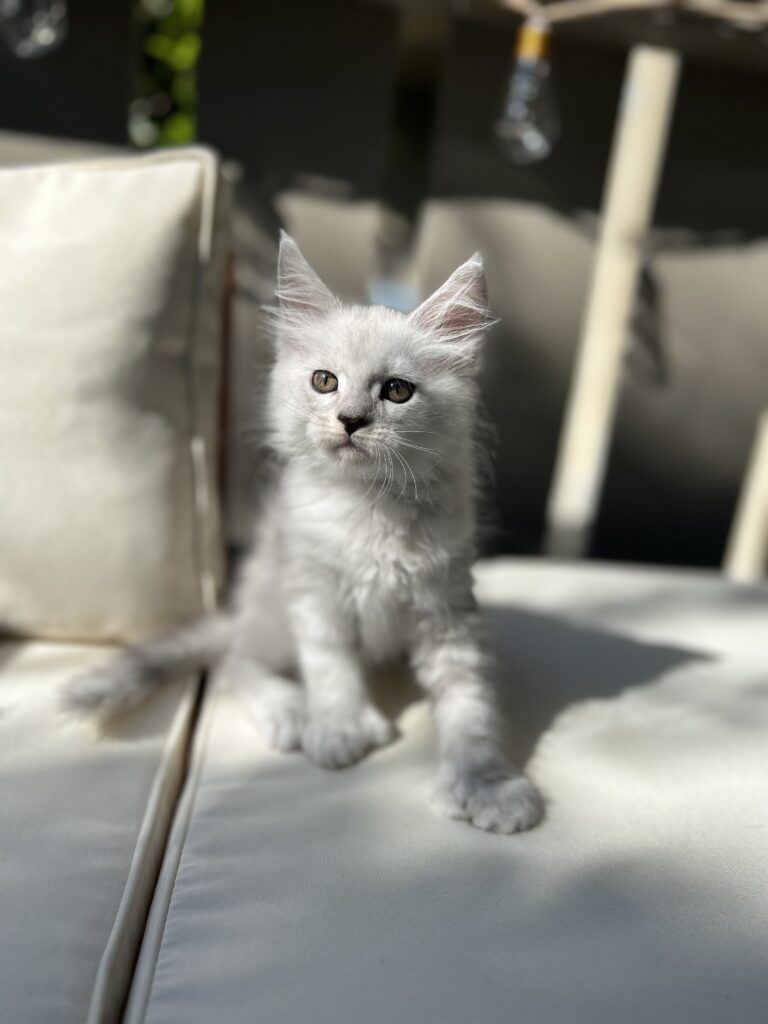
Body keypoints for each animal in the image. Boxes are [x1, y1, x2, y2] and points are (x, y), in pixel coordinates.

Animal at [64, 232, 540, 831]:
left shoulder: (448, 609)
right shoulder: (314, 590)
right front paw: (339, 729)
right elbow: (330, 666)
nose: (351, 420)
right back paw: (290, 710)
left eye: (397, 391)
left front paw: (486, 784)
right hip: (271, 609)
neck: (368, 507)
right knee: (235, 662)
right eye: (324, 382)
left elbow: (469, 705)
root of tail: (240, 611)